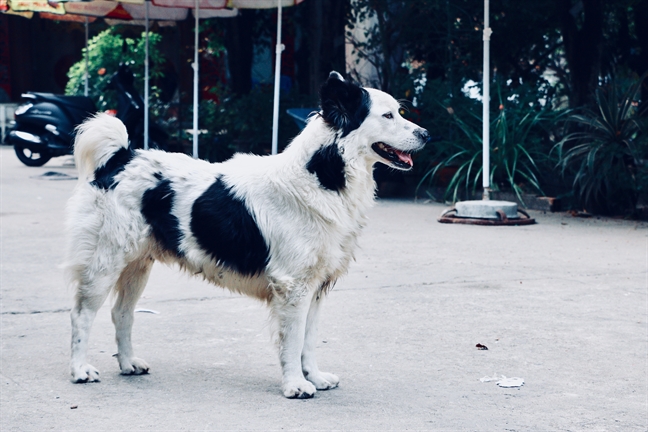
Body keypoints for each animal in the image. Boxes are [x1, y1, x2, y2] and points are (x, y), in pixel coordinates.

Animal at [67, 71, 430, 398]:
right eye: (388, 116)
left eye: (399, 112)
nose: (427, 134)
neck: (321, 175)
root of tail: (122, 157)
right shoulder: (293, 287)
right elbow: (293, 340)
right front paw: (296, 384)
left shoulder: (315, 286)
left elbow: (309, 339)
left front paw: (314, 376)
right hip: (105, 263)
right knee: (82, 315)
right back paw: (79, 369)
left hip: (136, 265)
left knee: (121, 313)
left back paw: (128, 363)